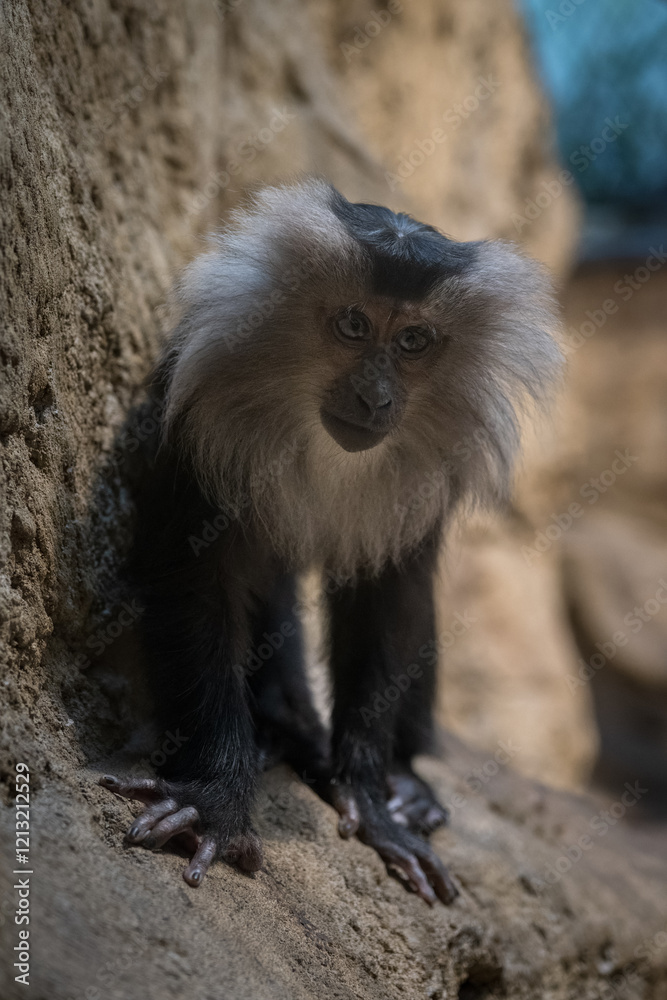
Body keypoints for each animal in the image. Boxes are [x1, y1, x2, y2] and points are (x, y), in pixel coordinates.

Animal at [100, 179, 561, 905]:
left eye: (414, 340)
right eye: (352, 325)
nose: (375, 397)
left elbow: (389, 601)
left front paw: (371, 801)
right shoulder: (201, 411)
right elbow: (198, 583)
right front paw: (216, 799)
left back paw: (403, 784)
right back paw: (279, 730)